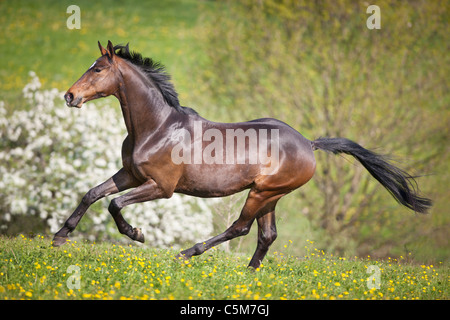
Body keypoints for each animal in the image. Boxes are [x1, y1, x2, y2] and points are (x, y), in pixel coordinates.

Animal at [53, 40, 432, 270]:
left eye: (98, 69)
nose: (69, 96)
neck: (157, 127)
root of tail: (308, 143)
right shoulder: (130, 175)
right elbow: (92, 194)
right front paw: (59, 237)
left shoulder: (161, 187)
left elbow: (114, 204)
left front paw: (137, 234)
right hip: (270, 195)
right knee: (266, 235)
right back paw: (249, 274)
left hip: (262, 192)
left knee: (240, 227)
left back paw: (188, 252)